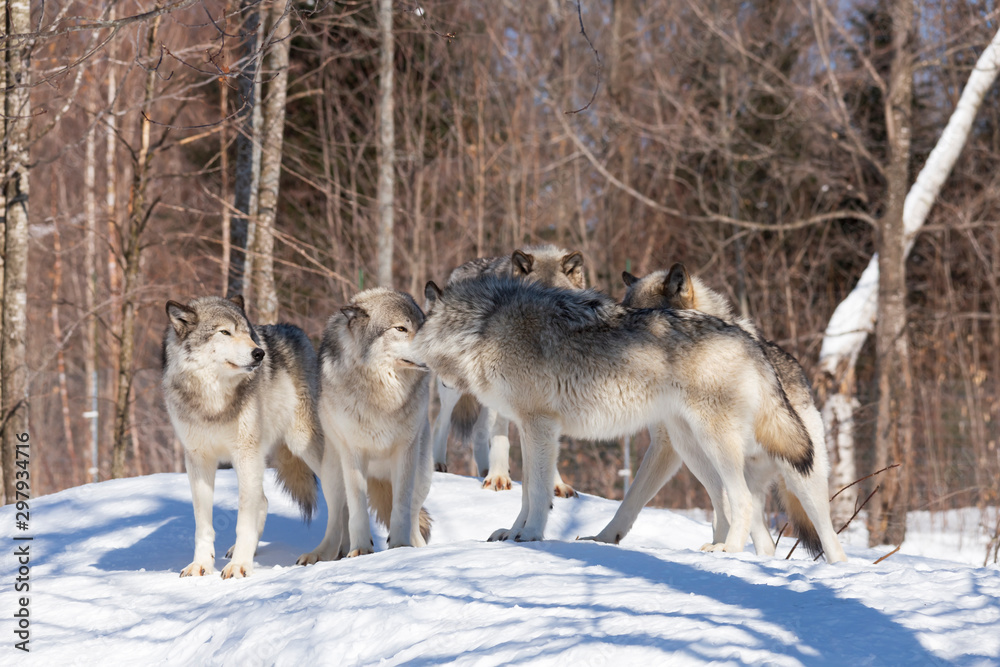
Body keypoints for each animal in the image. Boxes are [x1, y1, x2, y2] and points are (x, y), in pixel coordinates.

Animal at [162, 295, 347, 578]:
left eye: (248, 334)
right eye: (225, 332)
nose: (259, 353)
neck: (213, 402)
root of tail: (296, 332)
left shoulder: (246, 453)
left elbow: (243, 519)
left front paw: (239, 566)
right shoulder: (198, 460)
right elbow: (203, 524)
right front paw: (200, 565)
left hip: (305, 447)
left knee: (341, 496)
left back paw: (336, 551)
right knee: (264, 500)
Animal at [317, 287, 433, 557]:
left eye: (422, 326)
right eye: (401, 328)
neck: (383, 396)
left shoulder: (405, 451)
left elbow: (400, 508)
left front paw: (400, 547)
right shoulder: (353, 453)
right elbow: (357, 511)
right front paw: (360, 550)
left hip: (422, 474)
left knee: (414, 516)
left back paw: (419, 548)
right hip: (332, 475)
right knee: (336, 520)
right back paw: (320, 555)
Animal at [411, 275, 818, 556]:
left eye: (406, 329)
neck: (483, 326)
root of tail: (752, 340)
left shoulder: (540, 425)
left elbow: (538, 492)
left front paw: (530, 536)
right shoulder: (528, 428)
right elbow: (526, 493)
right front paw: (513, 534)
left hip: (716, 444)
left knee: (744, 500)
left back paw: (728, 551)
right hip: (689, 446)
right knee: (736, 510)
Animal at [431, 244, 585, 496]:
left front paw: (554, 484)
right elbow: (502, 436)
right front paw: (498, 478)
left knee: (479, 430)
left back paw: (484, 469)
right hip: (453, 386)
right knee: (440, 421)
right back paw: (438, 464)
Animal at [580, 264, 847, 563]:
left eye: (645, 319)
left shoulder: (668, 446)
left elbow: (635, 494)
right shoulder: (670, 440)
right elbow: (634, 498)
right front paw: (603, 539)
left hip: (800, 478)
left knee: (830, 539)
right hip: (713, 459)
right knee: (763, 539)